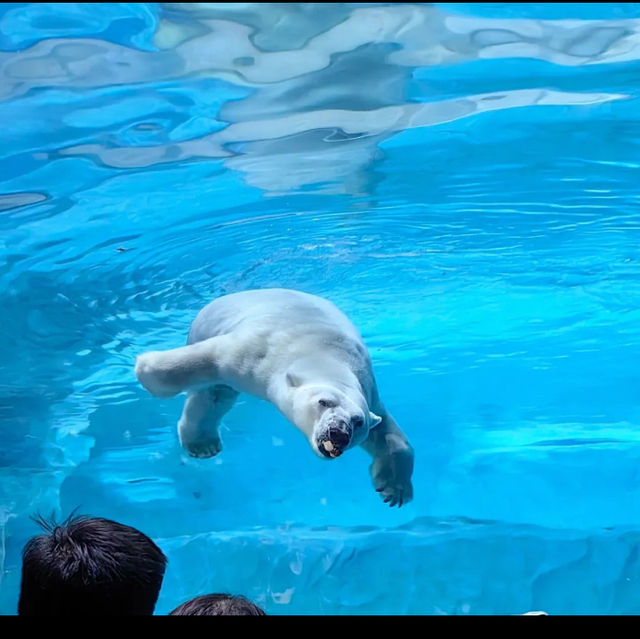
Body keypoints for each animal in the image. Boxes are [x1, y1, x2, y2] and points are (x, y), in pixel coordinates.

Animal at [136, 288, 416, 504]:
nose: (338, 432)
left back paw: (203, 445)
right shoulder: (260, 349)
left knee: (216, 396)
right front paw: (147, 370)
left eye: (358, 421)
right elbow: (212, 355)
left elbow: (389, 434)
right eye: (323, 401)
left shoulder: (369, 392)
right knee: (213, 392)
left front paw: (394, 488)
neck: (324, 352)